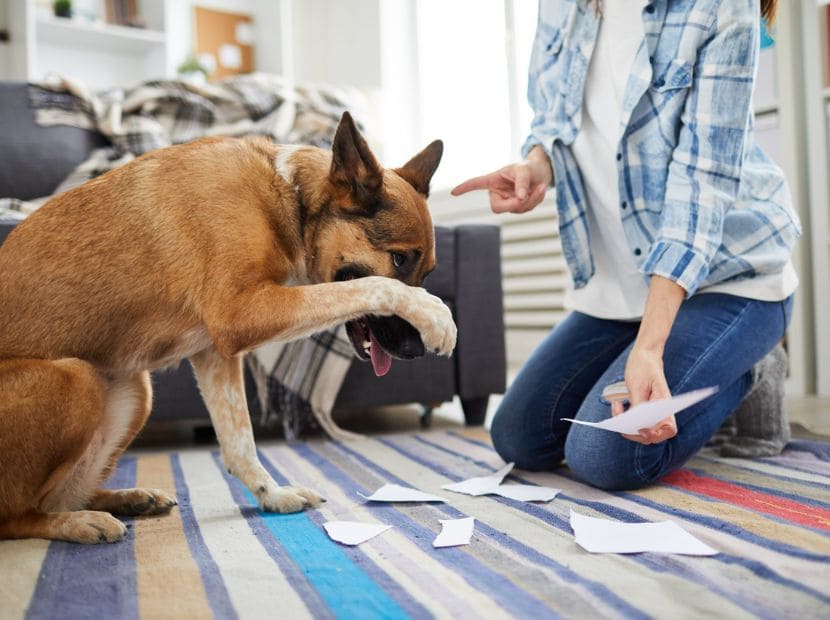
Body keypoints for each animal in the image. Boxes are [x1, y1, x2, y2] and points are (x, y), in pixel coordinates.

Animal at [0, 111, 456, 544]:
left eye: (429, 271)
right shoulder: (241, 313)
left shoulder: (214, 353)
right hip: (75, 379)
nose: (415, 351)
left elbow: (240, 442)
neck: (290, 197)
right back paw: (77, 523)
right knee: (18, 515)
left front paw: (273, 496)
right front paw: (434, 314)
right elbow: (370, 286)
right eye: (399, 259)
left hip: (135, 389)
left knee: (61, 495)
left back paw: (128, 499)